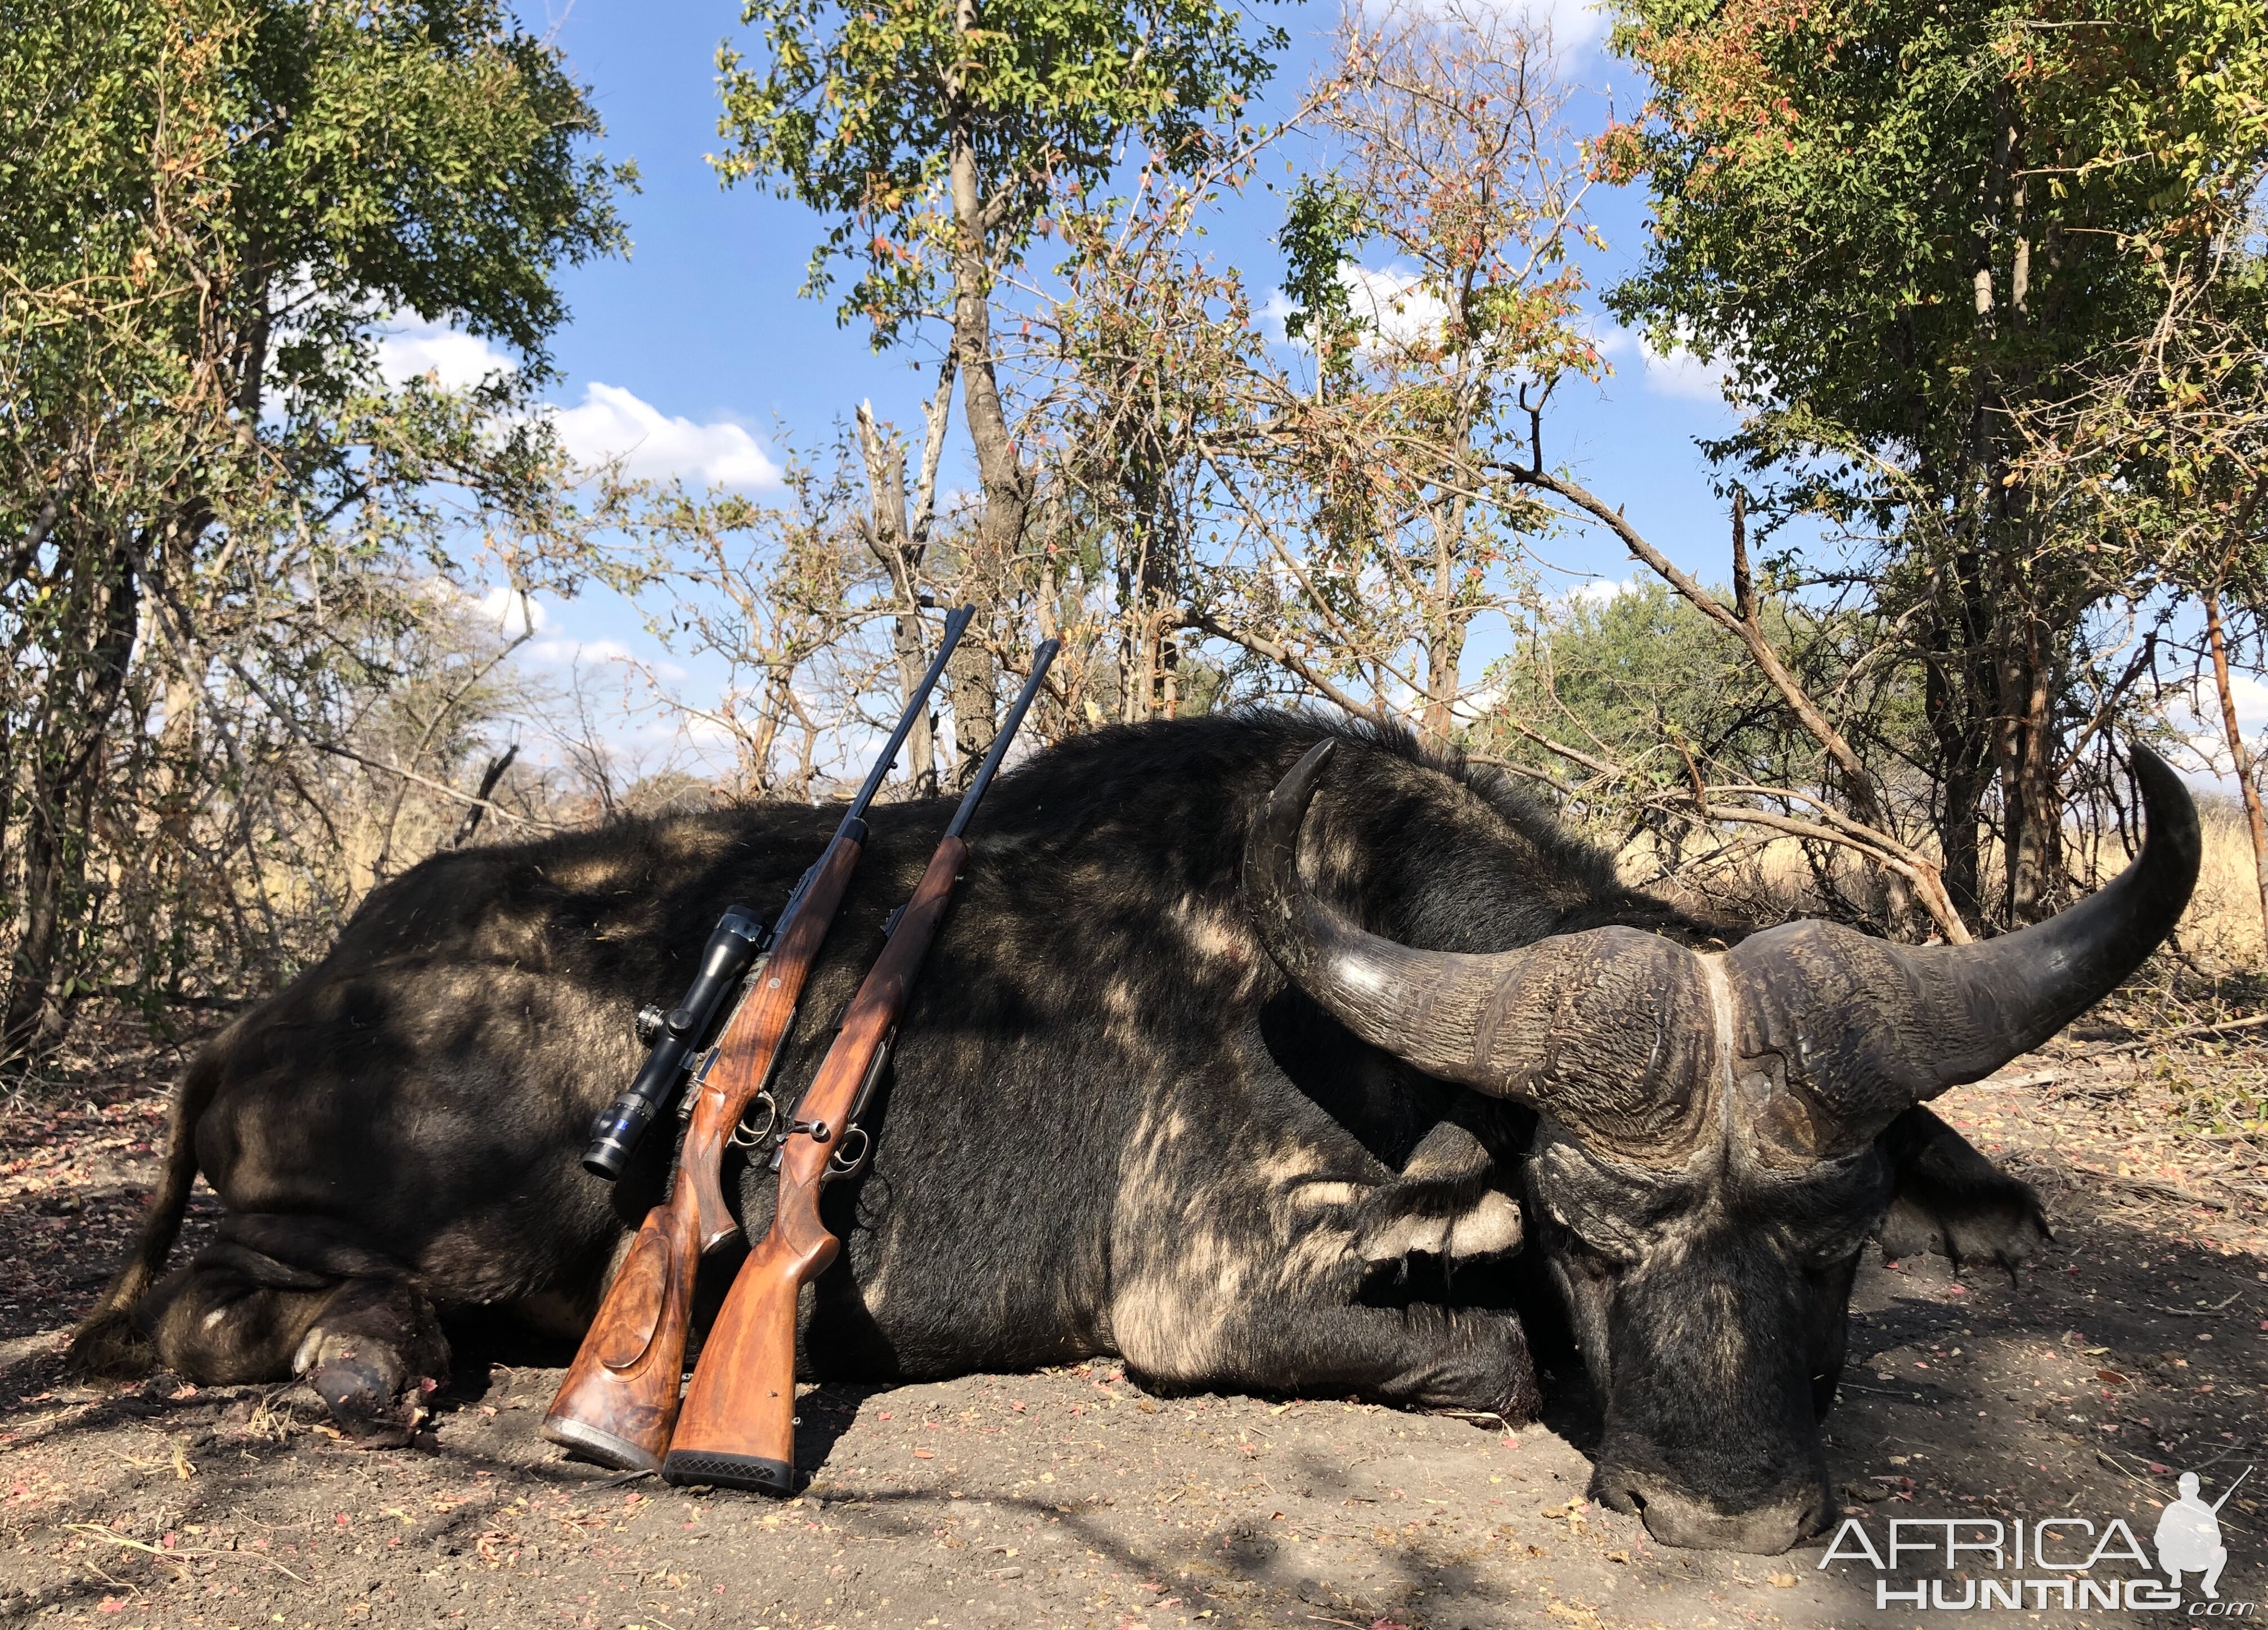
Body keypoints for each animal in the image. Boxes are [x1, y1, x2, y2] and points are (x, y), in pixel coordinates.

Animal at [75, 716, 2195, 1560]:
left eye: (1837, 1234)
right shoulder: (1215, 1297)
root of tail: (276, 1008)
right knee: (217, 1301)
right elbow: (1497, 1352)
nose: (1724, 1511)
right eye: (1591, 1228)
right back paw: (370, 1355)